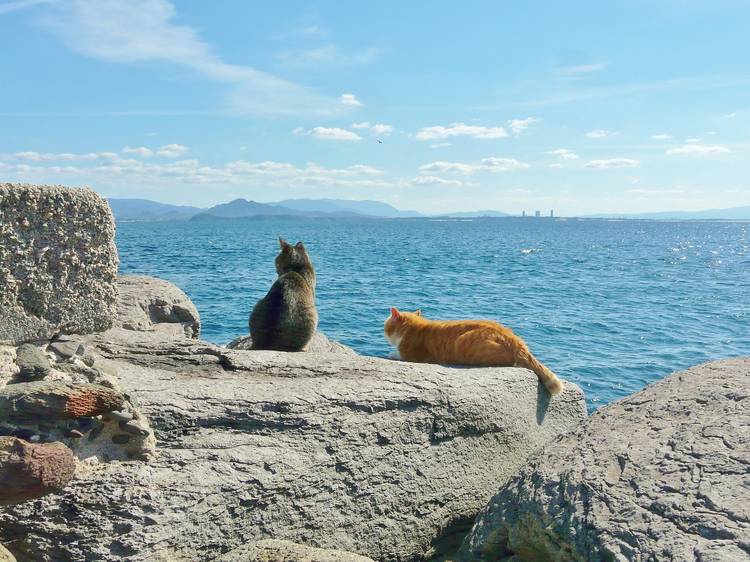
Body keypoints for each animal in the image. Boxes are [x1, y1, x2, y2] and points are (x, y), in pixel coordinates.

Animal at [388, 306, 564, 394]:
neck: (415, 327)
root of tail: (515, 339)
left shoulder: (413, 355)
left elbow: (396, 354)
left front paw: (391, 354)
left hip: (465, 342)